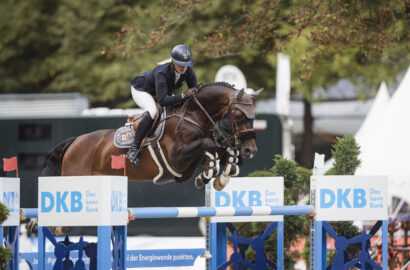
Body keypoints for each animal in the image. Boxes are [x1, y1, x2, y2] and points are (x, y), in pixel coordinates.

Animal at [41, 82, 262, 190]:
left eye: (255, 115)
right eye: (239, 115)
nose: (250, 150)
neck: (194, 116)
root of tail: (74, 143)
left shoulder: (185, 168)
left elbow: (217, 150)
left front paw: (221, 175)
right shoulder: (176, 159)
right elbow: (210, 145)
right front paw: (209, 175)